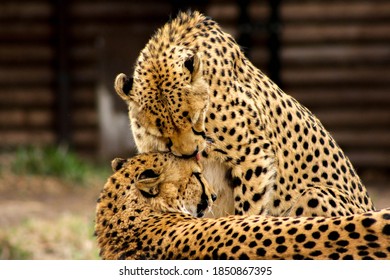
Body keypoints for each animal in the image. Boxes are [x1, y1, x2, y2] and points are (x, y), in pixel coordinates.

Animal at [113, 10, 374, 217]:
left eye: (195, 119)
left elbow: (249, 210)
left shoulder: (254, 154)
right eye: (160, 133)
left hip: (315, 193)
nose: (189, 153)